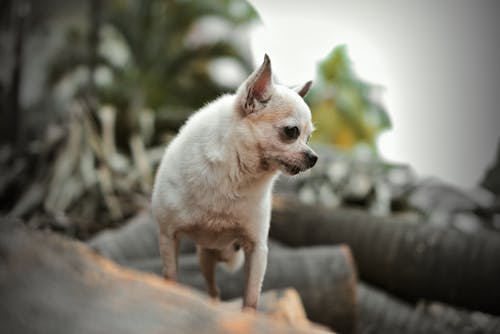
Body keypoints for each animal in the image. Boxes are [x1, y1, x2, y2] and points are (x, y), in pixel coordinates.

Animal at [150, 55, 318, 310]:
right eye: (292, 132)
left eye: (308, 138)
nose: (314, 157)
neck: (238, 175)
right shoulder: (168, 237)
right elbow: (171, 279)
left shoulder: (257, 249)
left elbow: (250, 299)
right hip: (204, 255)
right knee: (213, 290)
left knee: (214, 290)